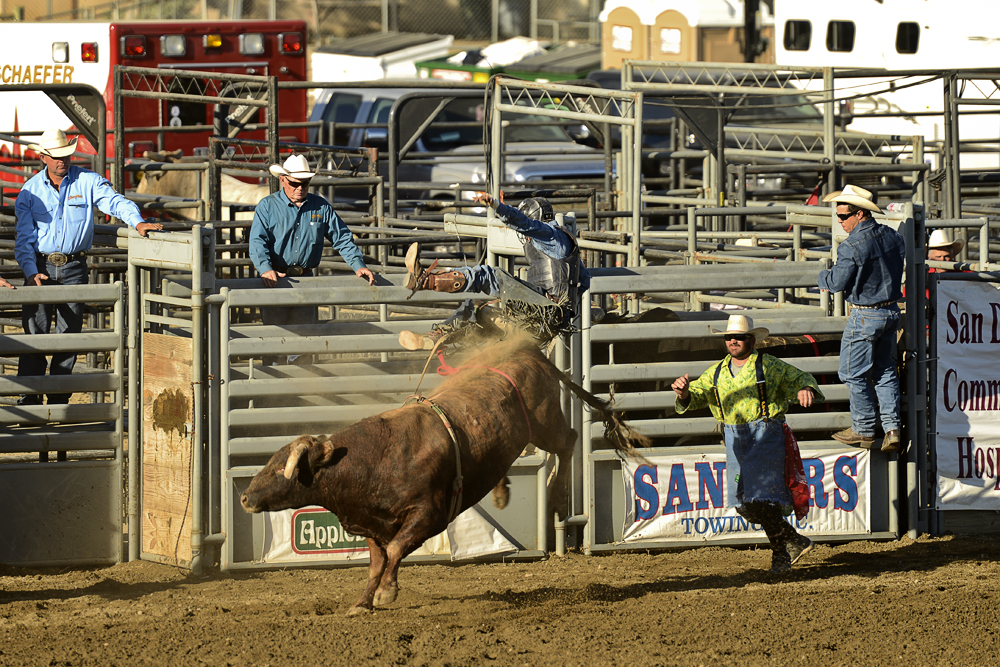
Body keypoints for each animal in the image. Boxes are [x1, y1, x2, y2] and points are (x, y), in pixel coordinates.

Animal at [241, 336, 648, 620]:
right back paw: (502, 492)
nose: (245, 497)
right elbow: (376, 563)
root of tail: (533, 355)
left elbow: (395, 551)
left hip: (545, 423)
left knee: (569, 441)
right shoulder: (373, 525)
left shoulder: (428, 514)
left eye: (279, 469)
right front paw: (363, 602)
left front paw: (387, 593)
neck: (372, 460)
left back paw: (557, 495)